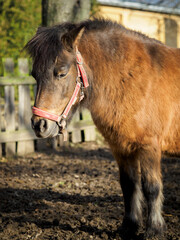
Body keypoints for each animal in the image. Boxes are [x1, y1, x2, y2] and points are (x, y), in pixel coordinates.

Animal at [25, 19, 180, 238]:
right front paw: (129, 226)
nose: (40, 125)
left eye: (61, 73)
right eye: (34, 75)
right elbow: (129, 184)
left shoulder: (149, 146)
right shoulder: (121, 147)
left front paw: (154, 230)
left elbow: (151, 187)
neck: (131, 78)